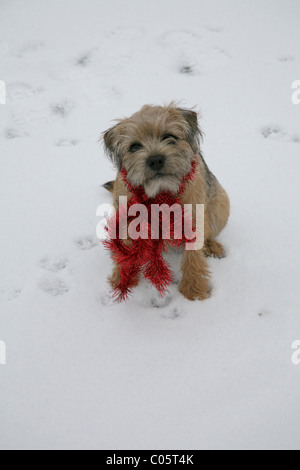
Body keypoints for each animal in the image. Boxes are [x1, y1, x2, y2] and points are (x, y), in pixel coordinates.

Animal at [102, 103, 230, 302]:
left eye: (169, 137)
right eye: (134, 146)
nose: (155, 159)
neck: (160, 193)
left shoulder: (193, 218)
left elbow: (194, 256)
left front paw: (193, 290)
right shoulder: (125, 218)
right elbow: (125, 249)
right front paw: (123, 279)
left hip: (221, 205)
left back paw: (212, 246)